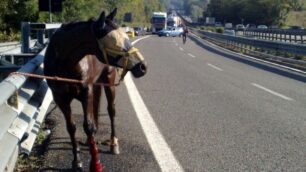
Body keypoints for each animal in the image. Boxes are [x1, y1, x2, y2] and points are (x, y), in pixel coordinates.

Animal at [43, 8, 148, 171]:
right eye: (116, 43)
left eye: (126, 37)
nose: (142, 67)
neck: (64, 62)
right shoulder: (60, 98)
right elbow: (72, 127)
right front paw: (77, 160)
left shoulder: (87, 93)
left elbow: (88, 126)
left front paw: (95, 163)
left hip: (109, 82)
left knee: (111, 111)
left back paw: (113, 143)